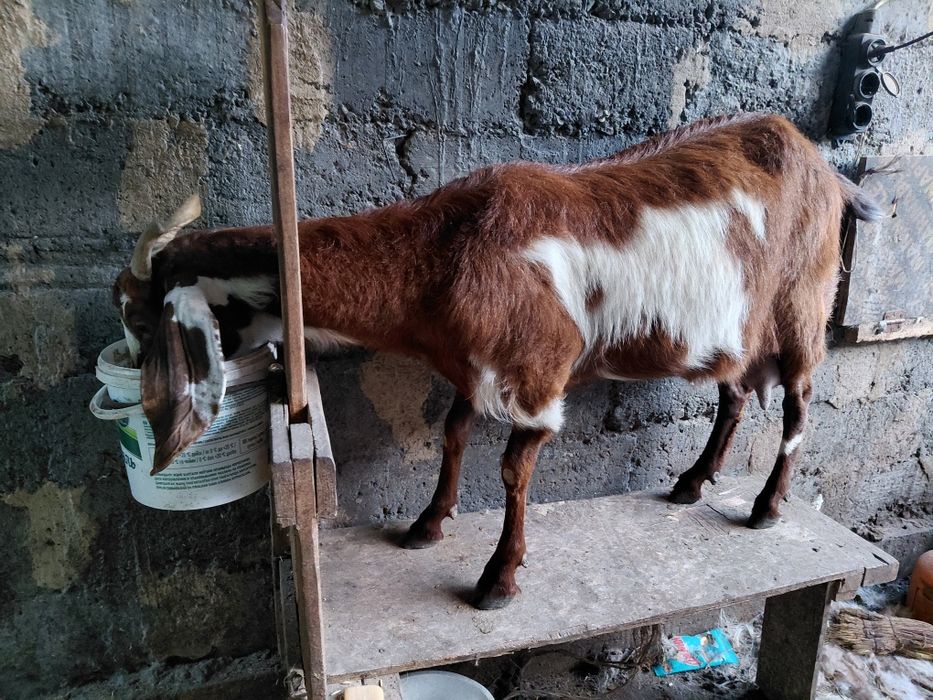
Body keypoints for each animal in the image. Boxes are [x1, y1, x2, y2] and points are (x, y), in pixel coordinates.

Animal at [114, 113, 883, 610]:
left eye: (141, 318)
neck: (448, 250)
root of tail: (825, 167)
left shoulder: (539, 374)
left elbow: (514, 472)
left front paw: (498, 580)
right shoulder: (469, 369)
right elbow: (453, 436)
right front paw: (427, 524)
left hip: (802, 307)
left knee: (798, 409)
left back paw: (765, 508)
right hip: (733, 330)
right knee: (732, 398)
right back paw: (692, 483)